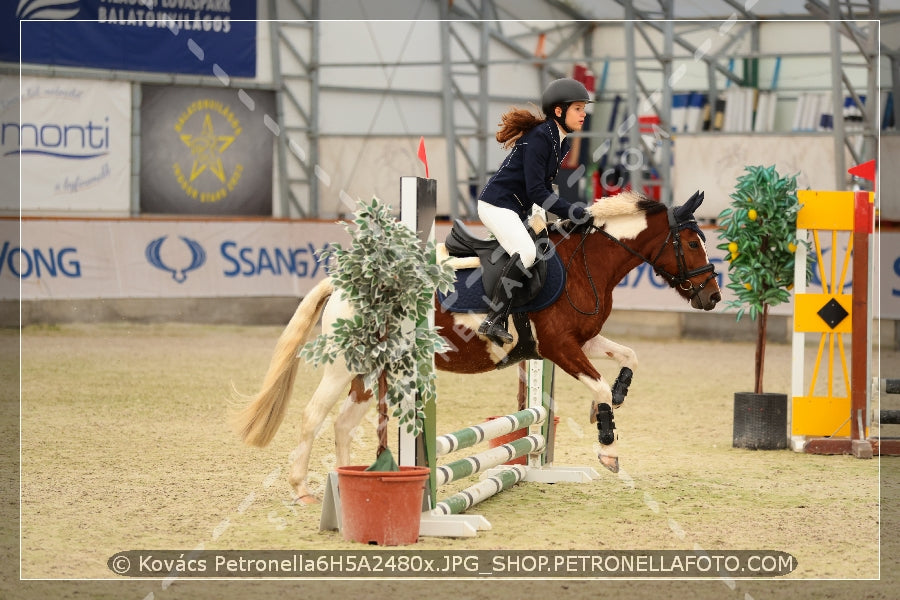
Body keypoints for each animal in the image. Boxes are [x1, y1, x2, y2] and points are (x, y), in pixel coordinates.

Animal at [234, 190, 724, 504]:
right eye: (692, 242)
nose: (713, 297)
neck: (585, 263)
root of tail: (344, 283)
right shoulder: (561, 347)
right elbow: (599, 386)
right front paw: (608, 447)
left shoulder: (582, 341)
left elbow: (627, 360)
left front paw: (616, 398)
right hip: (344, 364)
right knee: (312, 416)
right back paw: (302, 488)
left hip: (374, 370)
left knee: (343, 423)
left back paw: (349, 483)